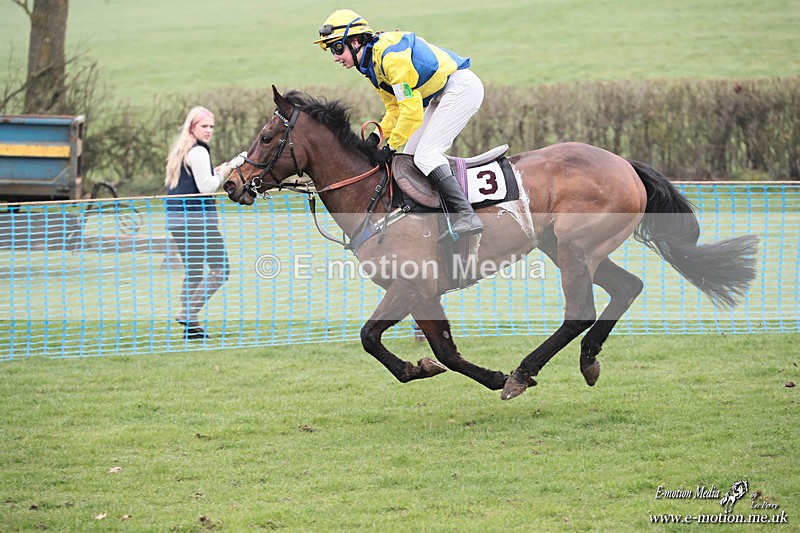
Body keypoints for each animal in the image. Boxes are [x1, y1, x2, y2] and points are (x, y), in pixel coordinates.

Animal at [224, 86, 759, 400]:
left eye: (267, 136)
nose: (232, 183)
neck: (376, 195)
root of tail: (624, 163)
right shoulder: (425, 293)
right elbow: (443, 352)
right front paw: (443, 370)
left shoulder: (409, 286)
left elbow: (370, 337)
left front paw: (448, 372)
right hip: (568, 248)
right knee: (627, 288)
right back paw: (587, 360)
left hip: (574, 249)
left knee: (580, 311)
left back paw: (525, 371)